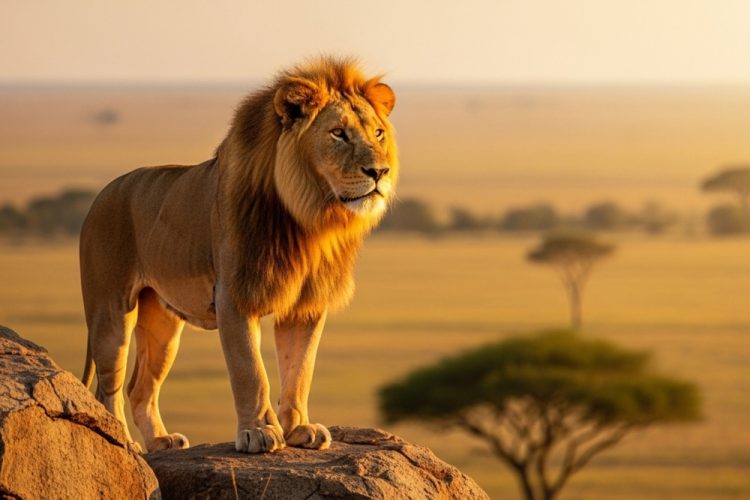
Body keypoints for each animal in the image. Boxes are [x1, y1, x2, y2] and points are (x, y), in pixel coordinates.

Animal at [79, 57, 398, 453]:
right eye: (338, 133)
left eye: (378, 133)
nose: (380, 171)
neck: (309, 219)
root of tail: (100, 196)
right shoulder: (235, 295)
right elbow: (250, 370)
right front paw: (258, 432)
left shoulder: (306, 305)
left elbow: (300, 369)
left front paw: (299, 429)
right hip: (111, 312)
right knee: (109, 386)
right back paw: (122, 442)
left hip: (162, 323)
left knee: (141, 387)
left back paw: (161, 441)